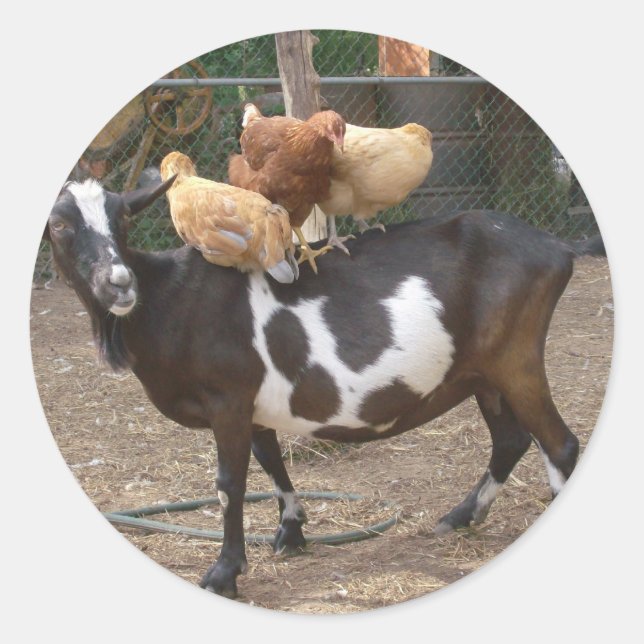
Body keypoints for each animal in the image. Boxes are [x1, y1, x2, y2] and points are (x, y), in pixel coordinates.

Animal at [45, 177, 603, 598]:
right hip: (484, 373)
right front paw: (291, 532)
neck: (168, 299)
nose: (119, 282)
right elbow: (270, 459)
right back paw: (460, 516)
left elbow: (230, 484)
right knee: (511, 439)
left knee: (558, 443)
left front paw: (224, 573)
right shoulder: (252, 402)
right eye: (60, 225)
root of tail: (557, 246)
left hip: (516, 358)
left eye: (122, 220)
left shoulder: (228, 398)